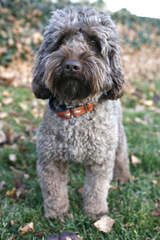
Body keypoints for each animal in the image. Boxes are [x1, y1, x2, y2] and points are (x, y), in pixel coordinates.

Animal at [31, 6, 132, 219]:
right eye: (61, 40)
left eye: (94, 42)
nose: (71, 65)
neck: (75, 111)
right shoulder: (50, 160)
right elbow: (54, 190)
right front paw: (57, 214)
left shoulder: (100, 160)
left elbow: (96, 189)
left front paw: (96, 213)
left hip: (118, 135)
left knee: (121, 154)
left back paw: (123, 176)